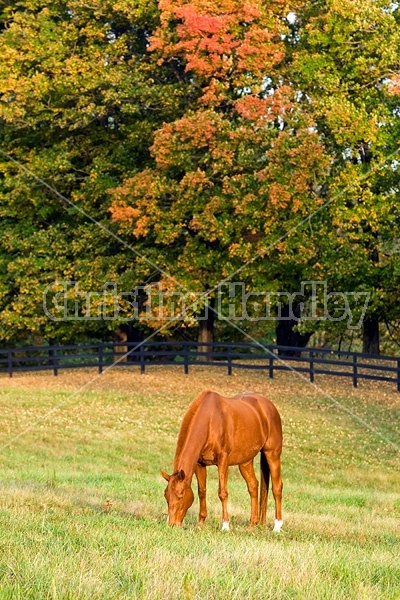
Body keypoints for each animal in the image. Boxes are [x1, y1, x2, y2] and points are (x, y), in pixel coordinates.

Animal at [161, 392, 282, 532]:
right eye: (166, 496)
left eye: (180, 496)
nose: (171, 524)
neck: (210, 421)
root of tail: (268, 405)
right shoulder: (200, 464)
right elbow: (202, 491)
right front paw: (200, 523)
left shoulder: (223, 460)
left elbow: (222, 492)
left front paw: (225, 525)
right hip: (245, 461)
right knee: (253, 486)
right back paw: (252, 524)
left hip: (272, 454)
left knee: (277, 487)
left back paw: (277, 526)